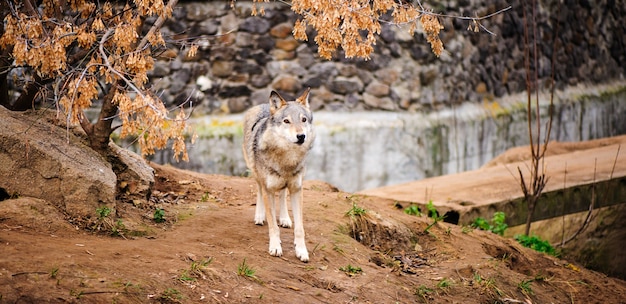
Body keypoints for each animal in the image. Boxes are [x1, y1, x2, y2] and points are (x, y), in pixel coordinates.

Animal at [241, 87, 314, 262]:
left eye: (303, 120)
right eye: (286, 121)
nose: (301, 136)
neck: (286, 159)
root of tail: (262, 105)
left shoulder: (297, 189)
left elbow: (300, 228)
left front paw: (302, 251)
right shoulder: (268, 189)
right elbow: (273, 226)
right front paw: (275, 247)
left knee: (281, 194)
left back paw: (285, 218)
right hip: (256, 174)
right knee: (259, 191)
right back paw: (260, 216)